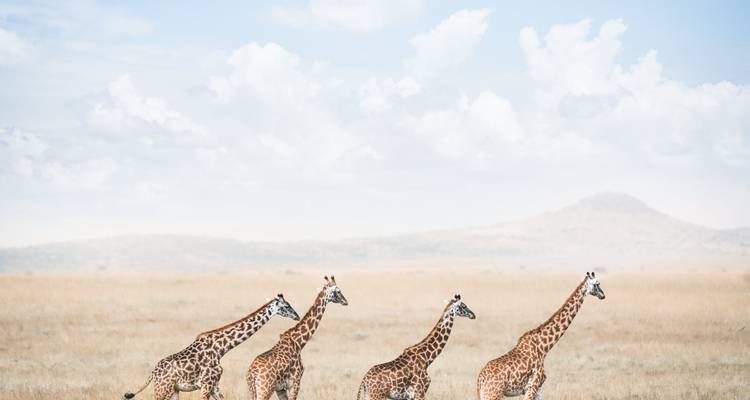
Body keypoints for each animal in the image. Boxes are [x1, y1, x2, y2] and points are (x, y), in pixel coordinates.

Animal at [122, 294, 300, 400]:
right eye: (286, 306)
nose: (297, 316)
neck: (221, 348)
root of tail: (153, 373)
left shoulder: (214, 385)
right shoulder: (206, 384)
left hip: (173, 390)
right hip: (162, 390)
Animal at [476, 272, 606, 400]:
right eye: (597, 284)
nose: (603, 295)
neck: (544, 348)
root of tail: (480, 379)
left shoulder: (538, 388)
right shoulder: (532, 386)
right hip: (493, 395)